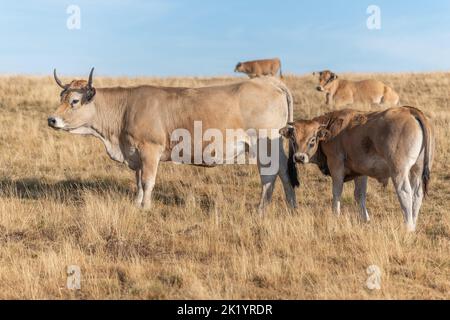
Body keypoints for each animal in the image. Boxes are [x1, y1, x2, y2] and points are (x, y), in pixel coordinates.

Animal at [48, 68, 298, 212]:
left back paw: (261, 210)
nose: (52, 119)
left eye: (75, 101)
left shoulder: (150, 150)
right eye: (61, 97)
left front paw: (146, 208)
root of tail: (269, 82)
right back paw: (292, 207)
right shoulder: (136, 154)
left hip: (264, 144)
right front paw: (137, 204)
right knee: (285, 172)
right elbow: (138, 182)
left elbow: (148, 181)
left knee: (269, 176)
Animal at [280, 106, 434, 231]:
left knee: (405, 193)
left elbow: (337, 192)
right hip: (416, 170)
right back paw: (413, 224)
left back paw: (408, 227)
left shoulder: (336, 166)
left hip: (399, 172)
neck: (332, 127)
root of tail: (410, 111)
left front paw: (335, 215)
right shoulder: (361, 172)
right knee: (417, 194)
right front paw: (365, 219)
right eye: (293, 139)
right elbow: (360, 195)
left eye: (312, 139)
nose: (299, 157)